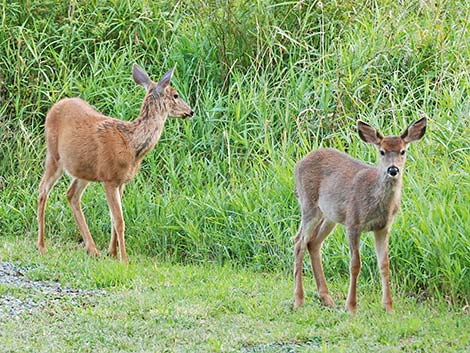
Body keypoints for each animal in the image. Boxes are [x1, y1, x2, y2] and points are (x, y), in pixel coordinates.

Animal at [36, 63, 195, 262]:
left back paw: (92, 249)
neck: (132, 145)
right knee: (43, 190)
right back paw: (41, 246)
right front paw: (124, 259)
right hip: (54, 156)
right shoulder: (109, 179)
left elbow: (113, 218)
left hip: (83, 169)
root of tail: (54, 106)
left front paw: (111, 253)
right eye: (175, 95)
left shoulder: (122, 181)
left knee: (71, 194)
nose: (191, 111)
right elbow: (119, 221)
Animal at [296, 118, 428, 314]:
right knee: (299, 242)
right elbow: (355, 264)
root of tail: (298, 163)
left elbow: (384, 264)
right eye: (382, 151)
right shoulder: (353, 222)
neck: (376, 201)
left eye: (403, 151)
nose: (393, 170)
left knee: (313, 242)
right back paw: (298, 300)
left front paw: (389, 307)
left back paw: (326, 298)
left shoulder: (383, 227)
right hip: (309, 205)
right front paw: (351, 307)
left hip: (329, 215)